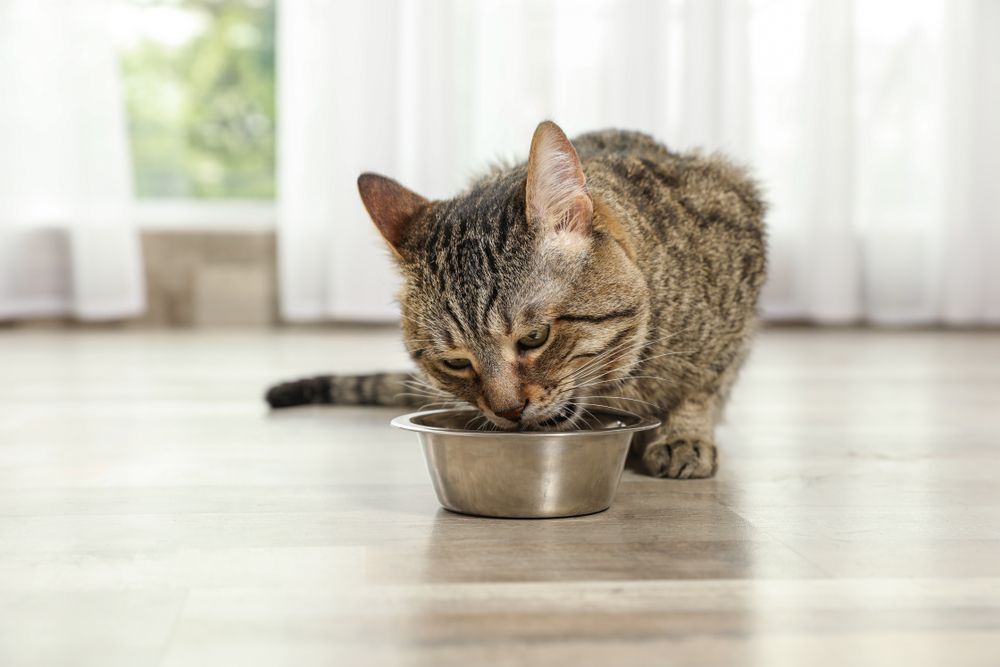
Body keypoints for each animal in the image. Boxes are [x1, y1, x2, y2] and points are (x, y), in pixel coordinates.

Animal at [266, 121, 764, 480]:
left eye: (534, 337)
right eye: (456, 362)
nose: (507, 411)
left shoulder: (739, 229)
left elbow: (705, 383)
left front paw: (685, 433)